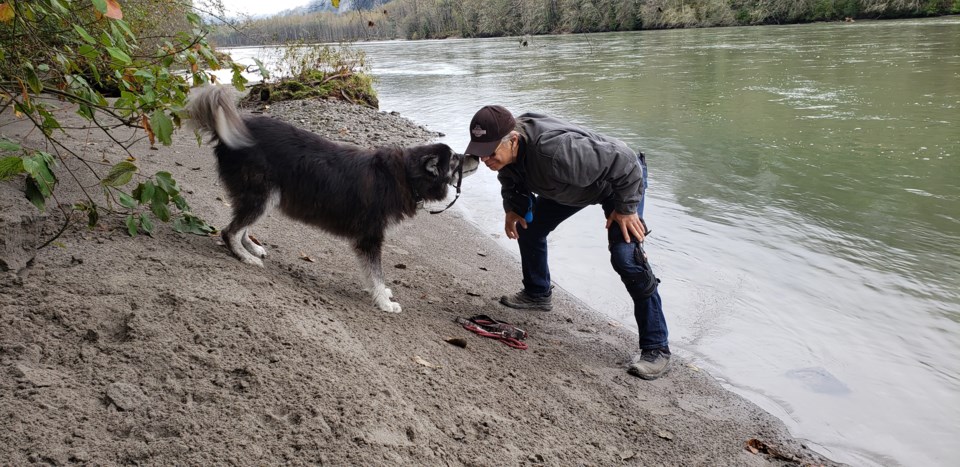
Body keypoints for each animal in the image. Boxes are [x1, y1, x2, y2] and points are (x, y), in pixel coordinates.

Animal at [186, 87, 478, 314]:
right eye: (455, 160)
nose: (474, 155)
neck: (406, 176)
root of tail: (230, 131)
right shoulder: (370, 237)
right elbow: (375, 272)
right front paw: (384, 302)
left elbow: (371, 274)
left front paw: (380, 292)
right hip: (263, 195)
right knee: (229, 231)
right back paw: (244, 257)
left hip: (263, 197)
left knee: (241, 225)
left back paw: (252, 248)